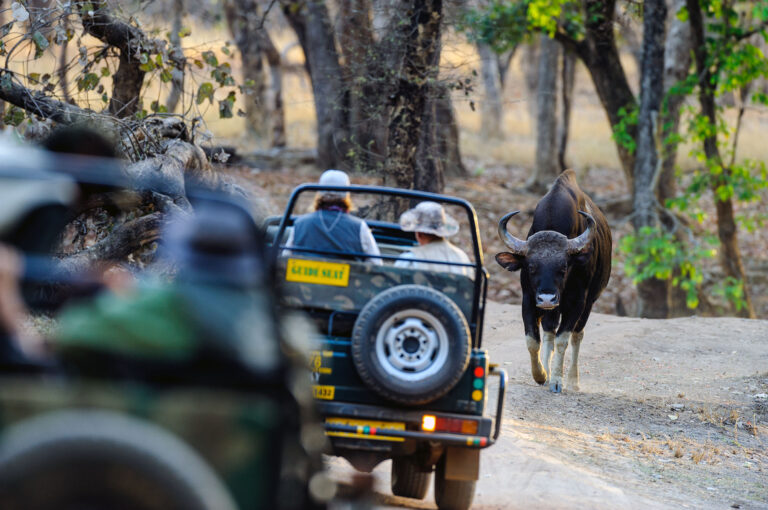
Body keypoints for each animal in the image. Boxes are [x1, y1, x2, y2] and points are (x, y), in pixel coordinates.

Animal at [498, 169, 612, 392]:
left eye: (564, 267)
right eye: (531, 267)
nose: (547, 298)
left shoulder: (577, 302)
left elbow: (563, 339)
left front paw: (557, 381)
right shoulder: (528, 299)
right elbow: (533, 340)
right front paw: (541, 375)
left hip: (588, 303)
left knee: (577, 335)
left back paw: (573, 380)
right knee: (549, 332)